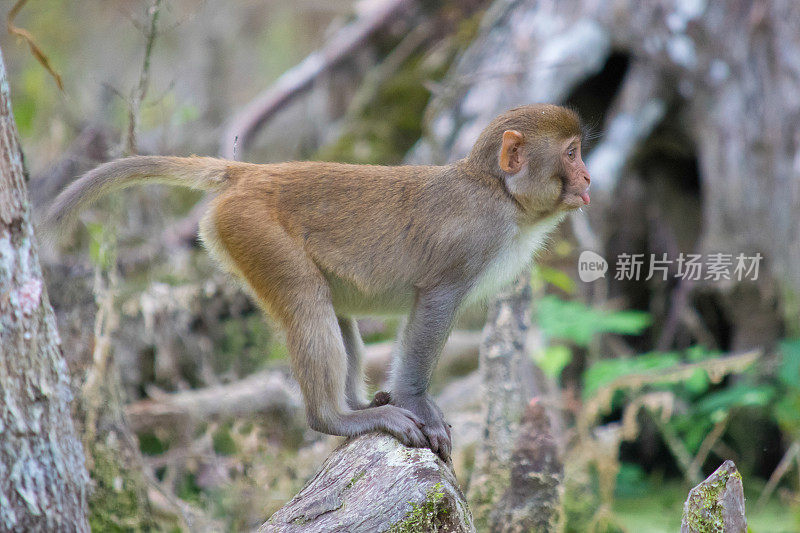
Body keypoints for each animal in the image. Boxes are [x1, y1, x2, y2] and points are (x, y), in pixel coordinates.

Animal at [45, 103, 592, 458]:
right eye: (571, 152)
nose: (587, 179)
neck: (501, 193)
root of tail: (249, 173)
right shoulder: (473, 241)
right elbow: (435, 305)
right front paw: (416, 401)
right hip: (254, 231)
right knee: (307, 303)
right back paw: (337, 419)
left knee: (333, 308)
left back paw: (357, 404)